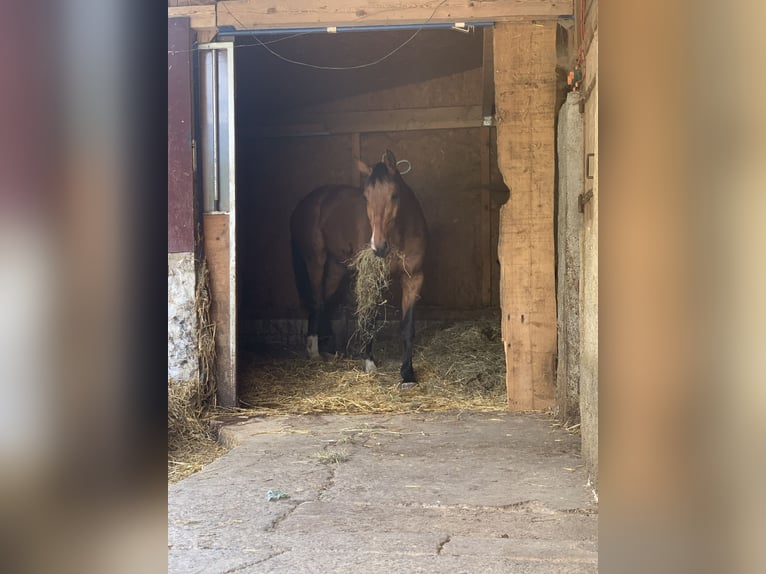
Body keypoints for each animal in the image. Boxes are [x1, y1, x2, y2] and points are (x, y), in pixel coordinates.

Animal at [292, 151, 428, 390]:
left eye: (394, 195)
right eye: (366, 197)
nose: (378, 247)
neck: (399, 235)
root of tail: (307, 202)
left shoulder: (413, 279)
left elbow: (407, 327)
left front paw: (408, 375)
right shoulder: (372, 279)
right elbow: (370, 318)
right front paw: (369, 363)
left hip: (336, 268)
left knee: (324, 301)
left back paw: (328, 350)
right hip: (315, 261)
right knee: (316, 299)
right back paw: (314, 350)